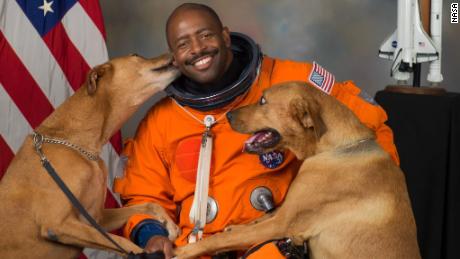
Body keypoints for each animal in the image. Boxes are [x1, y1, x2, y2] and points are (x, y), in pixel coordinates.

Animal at [0, 53, 181, 258]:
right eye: (136, 55)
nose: (172, 53)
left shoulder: (97, 219)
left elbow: (149, 204)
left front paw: (169, 224)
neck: (79, 144)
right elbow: (124, 242)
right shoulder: (57, 225)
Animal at [174, 82, 422, 258]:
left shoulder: (283, 223)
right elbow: (257, 220)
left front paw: (185, 251)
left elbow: (218, 239)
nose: (227, 115)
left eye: (263, 100)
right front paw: (232, 229)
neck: (337, 148)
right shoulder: (282, 213)